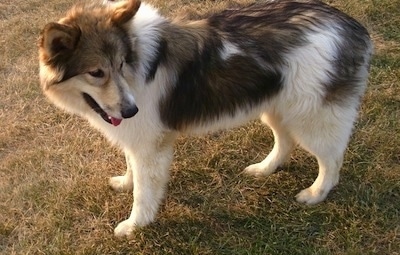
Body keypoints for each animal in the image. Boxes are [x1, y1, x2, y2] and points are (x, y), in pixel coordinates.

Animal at [39, 0, 374, 237]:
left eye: (122, 63)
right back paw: (265, 169)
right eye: (96, 72)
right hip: (277, 106)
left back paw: (316, 193)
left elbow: (145, 192)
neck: (138, 62)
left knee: (331, 160)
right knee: (285, 140)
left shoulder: (150, 145)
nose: (131, 110)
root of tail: (350, 26)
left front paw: (135, 226)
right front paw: (125, 182)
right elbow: (132, 169)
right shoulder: (136, 138)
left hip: (311, 116)